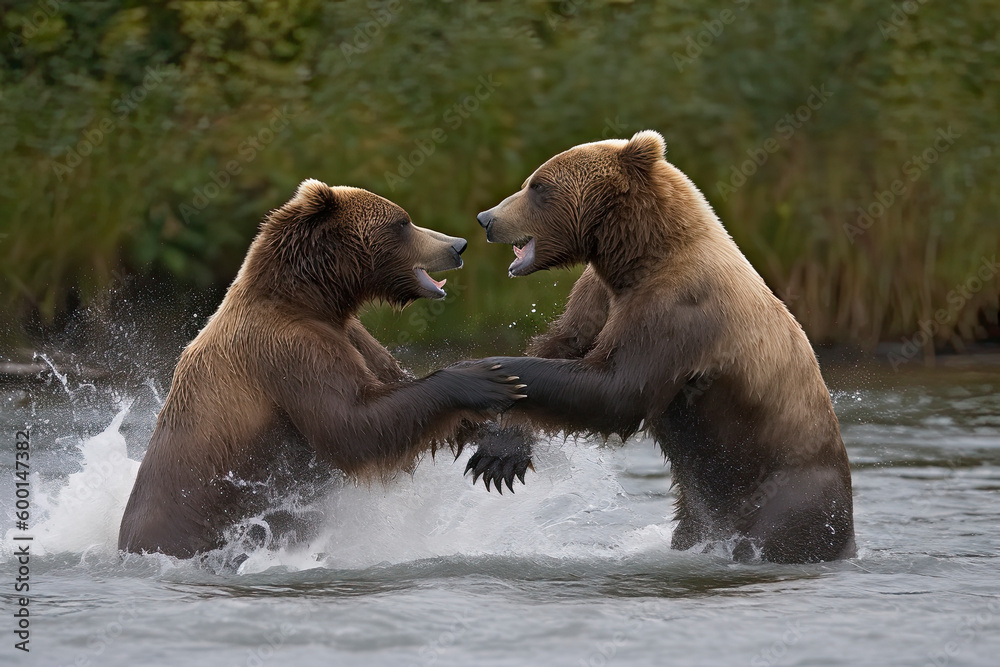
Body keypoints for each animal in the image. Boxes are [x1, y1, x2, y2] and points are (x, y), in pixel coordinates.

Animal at [118, 180, 526, 558]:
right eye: (403, 222)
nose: (457, 245)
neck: (310, 300)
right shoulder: (289, 351)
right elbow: (353, 424)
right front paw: (486, 378)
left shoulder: (351, 336)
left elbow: (393, 386)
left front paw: (505, 442)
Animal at [469, 131, 855, 564]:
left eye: (538, 186)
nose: (487, 218)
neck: (638, 256)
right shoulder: (599, 295)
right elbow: (564, 345)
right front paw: (501, 448)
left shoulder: (678, 310)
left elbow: (616, 389)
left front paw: (487, 372)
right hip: (699, 505)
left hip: (788, 488)